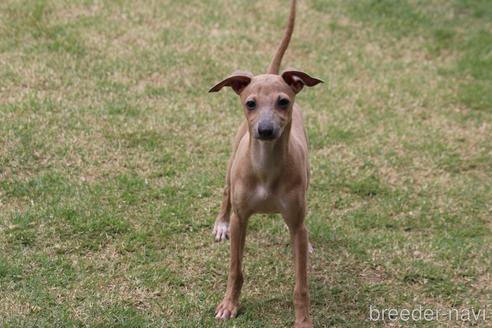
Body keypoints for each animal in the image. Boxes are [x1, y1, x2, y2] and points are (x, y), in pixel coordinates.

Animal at [209, 1, 320, 326]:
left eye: (283, 101)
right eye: (251, 103)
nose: (266, 130)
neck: (267, 169)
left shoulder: (296, 219)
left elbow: (301, 283)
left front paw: (303, 320)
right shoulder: (241, 218)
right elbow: (235, 270)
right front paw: (229, 305)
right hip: (231, 164)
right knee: (225, 192)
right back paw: (220, 224)